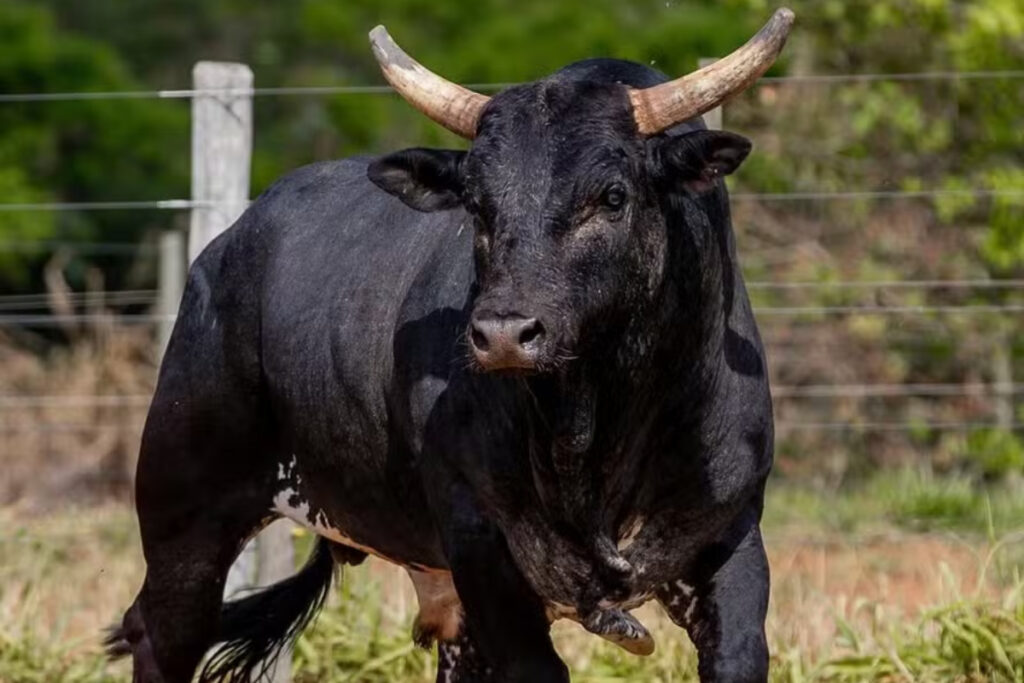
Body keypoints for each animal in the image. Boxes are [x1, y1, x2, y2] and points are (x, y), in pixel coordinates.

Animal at [106, 8, 793, 683]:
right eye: (477, 206)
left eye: (613, 196)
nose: (503, 334)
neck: (593, 427)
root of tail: (226, 245)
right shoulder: (482, 547)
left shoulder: (733, 539)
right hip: (185, 514)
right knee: (159, 634)